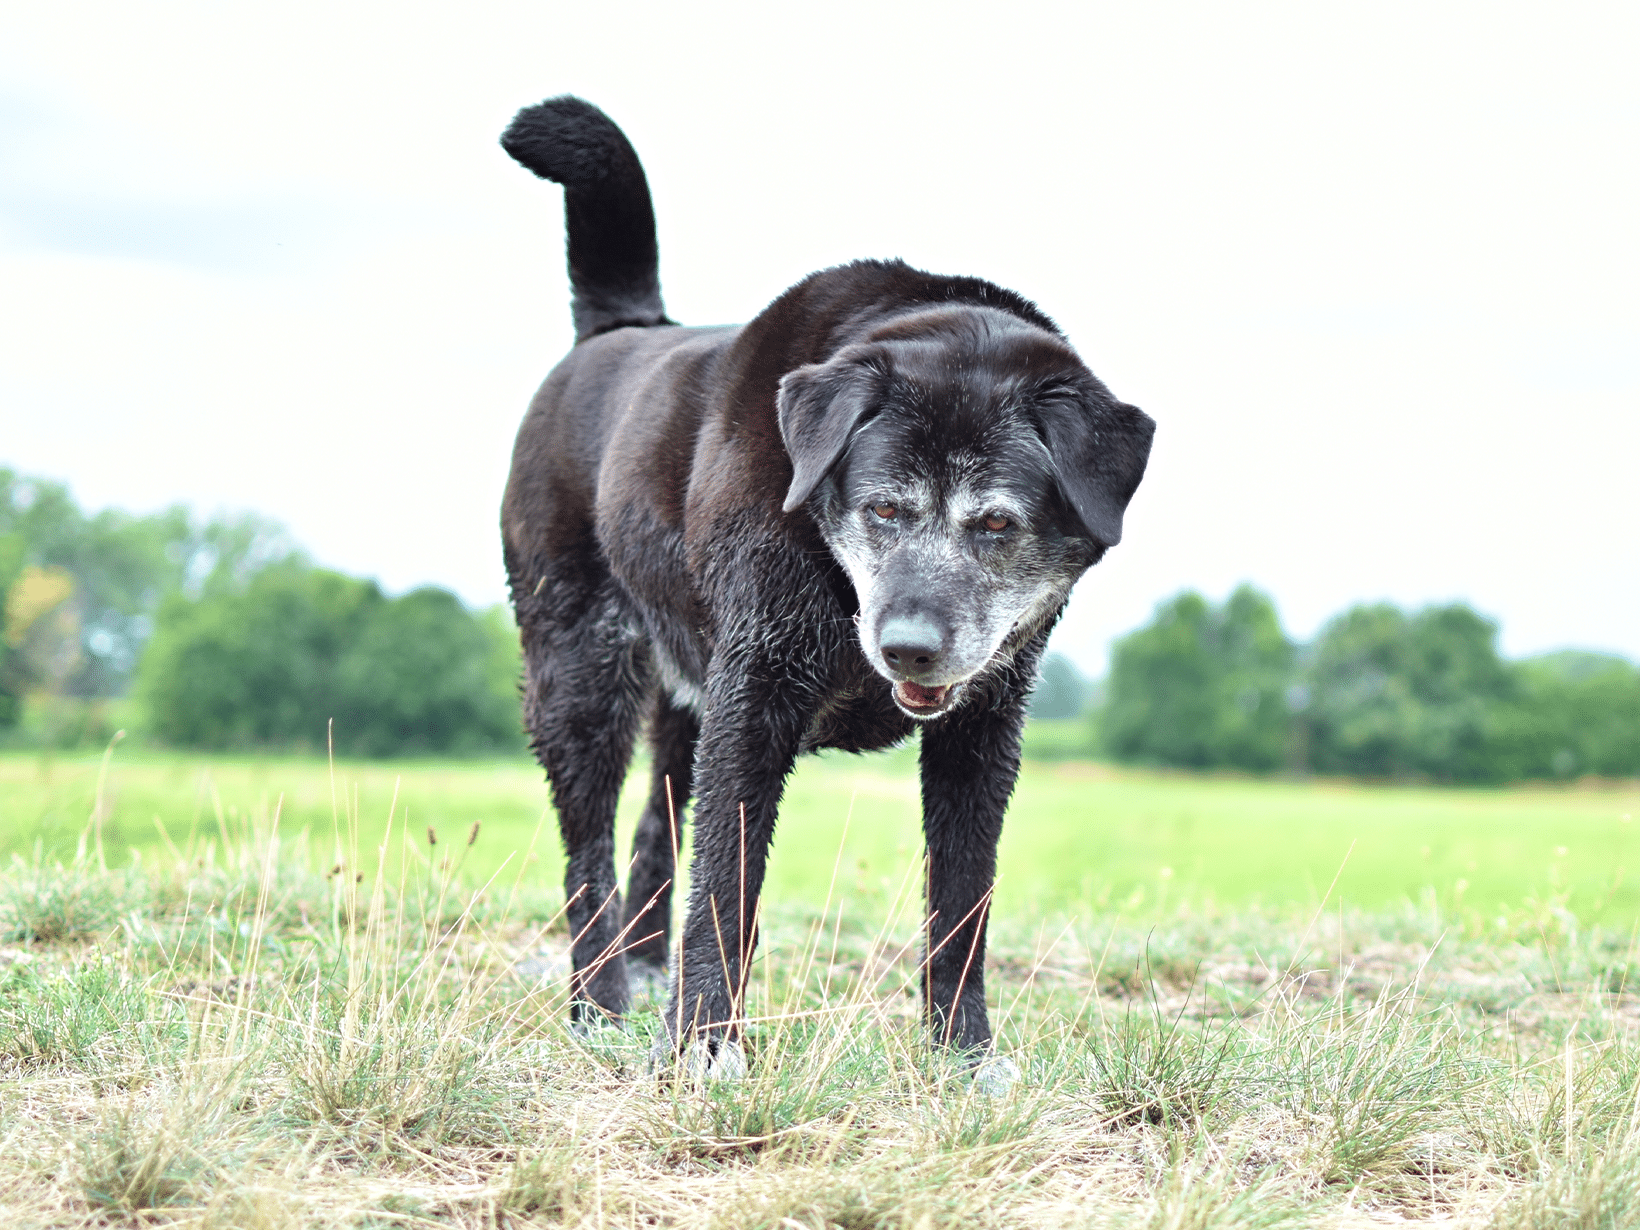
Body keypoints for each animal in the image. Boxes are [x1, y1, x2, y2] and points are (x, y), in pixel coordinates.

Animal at [498, 96, 1154, 1075]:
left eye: (998, 524)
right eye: (881, 508)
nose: (908, 647)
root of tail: (617, 329)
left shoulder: (981, 732)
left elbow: (962, 903)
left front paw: (963, 1054)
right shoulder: (755, 700)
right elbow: (727, 887)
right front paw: (703, 1045)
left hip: (686, 696)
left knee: (656, 823)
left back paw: (643, 973)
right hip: (580, 674)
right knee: (590, 853)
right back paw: (601, 1003)